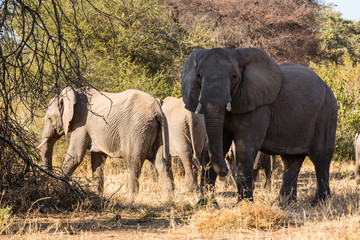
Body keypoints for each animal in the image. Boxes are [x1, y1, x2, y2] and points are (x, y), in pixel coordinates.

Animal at [38, 87, 174, 200]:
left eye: (49, 118)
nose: (49, 179)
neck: (74, 94)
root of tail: (157, 110)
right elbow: (98, 159)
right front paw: (96, 194)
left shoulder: (82, 124)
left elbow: (75, 157)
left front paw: (57, 187)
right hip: (159, 129)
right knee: (162, 163)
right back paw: (169, 199)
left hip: (137, 130)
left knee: (134, 162)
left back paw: (131, 199)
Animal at [181, 47, 338, 204]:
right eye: (199, 76)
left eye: (234, 76)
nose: (225, 171)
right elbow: (213, 147)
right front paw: (205, 205)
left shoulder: (259, 106)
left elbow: (245, 148)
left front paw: (244, 204)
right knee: (291, 160)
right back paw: (285, 202)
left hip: (326, 112)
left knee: (321, 157)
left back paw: (319, 202)